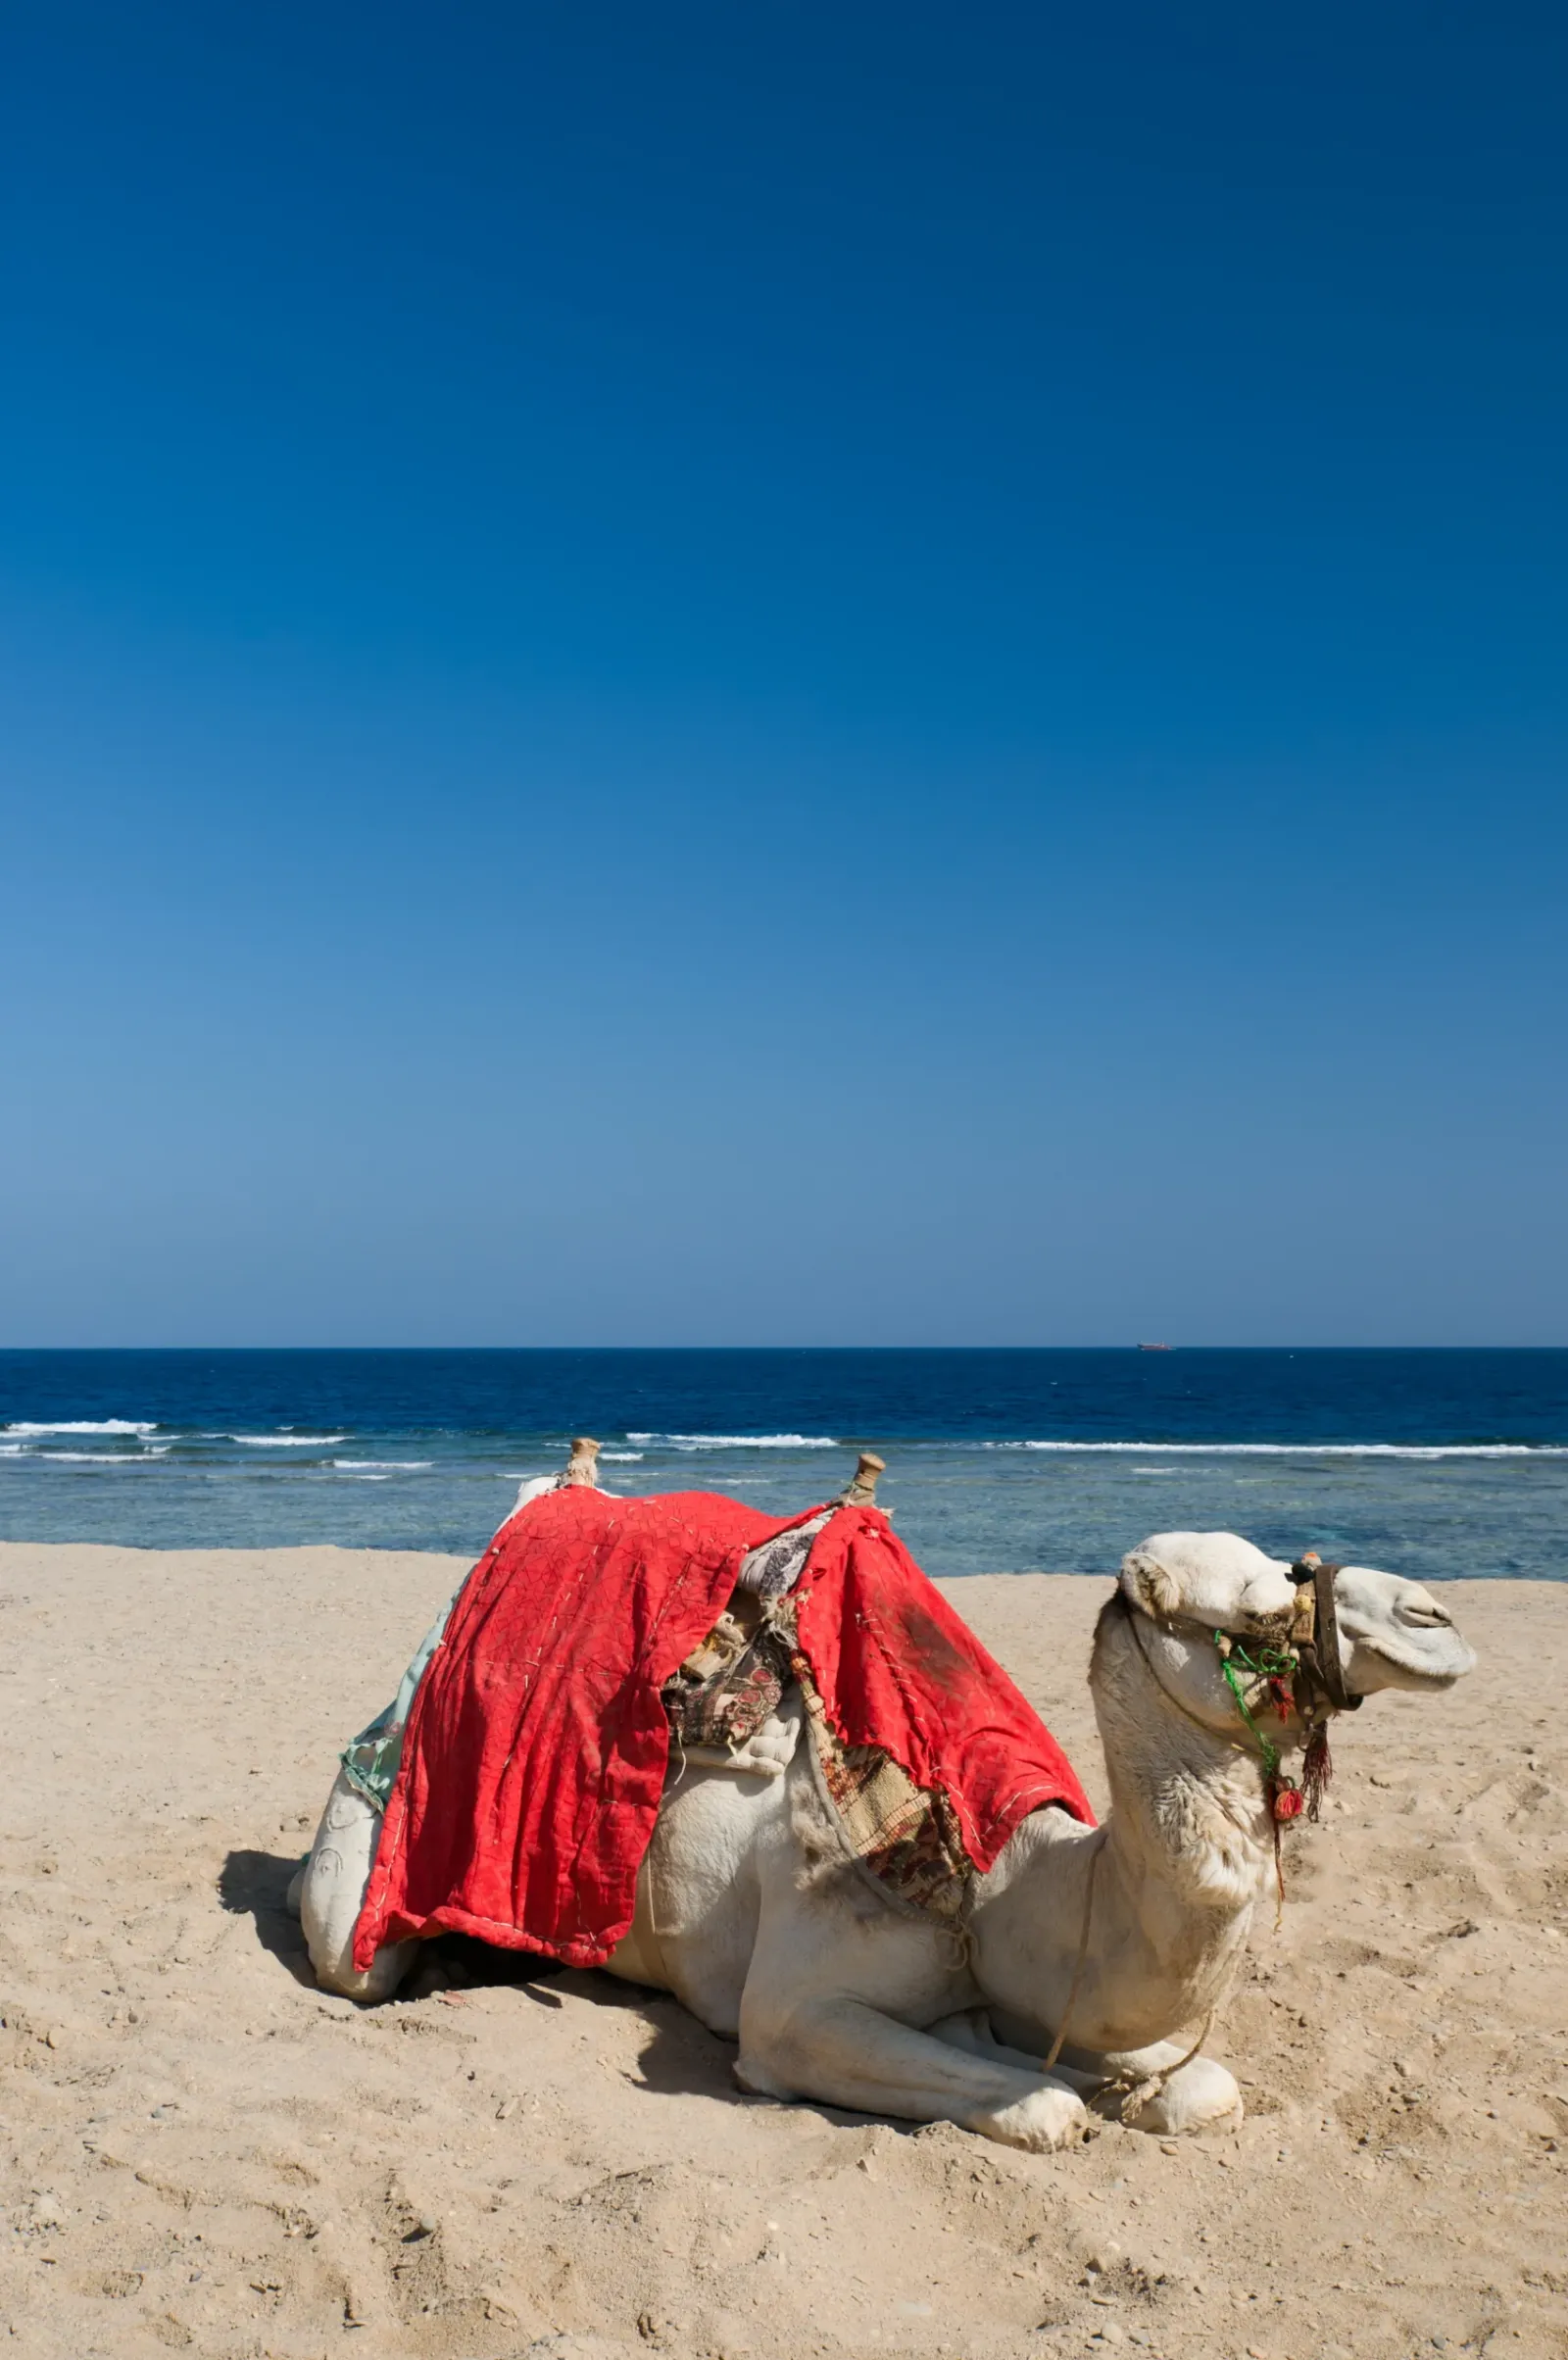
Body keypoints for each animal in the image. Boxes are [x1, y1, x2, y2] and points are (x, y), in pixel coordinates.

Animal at [293, 1489, 1474, 2152]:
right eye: (1263, 1610)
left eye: (1286, 1565)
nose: (1437, 1616)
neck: (1001, 1889)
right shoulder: (792, 2010)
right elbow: (1043, 2103)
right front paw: (1056, 2095)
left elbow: (1200, 2084)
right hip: (375, 1827)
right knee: (352, 1947)